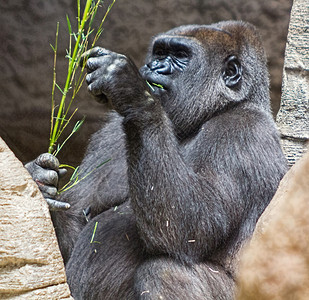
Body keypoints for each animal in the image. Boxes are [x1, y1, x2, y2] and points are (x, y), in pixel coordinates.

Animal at [25, 19, 286, 298]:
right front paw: (39, 179)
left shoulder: (245, 130)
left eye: (181, 56)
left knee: (164, 271)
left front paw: (133, 92)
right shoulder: (108, 134)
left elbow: (192, 227)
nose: (154, 67)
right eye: (160, 53)